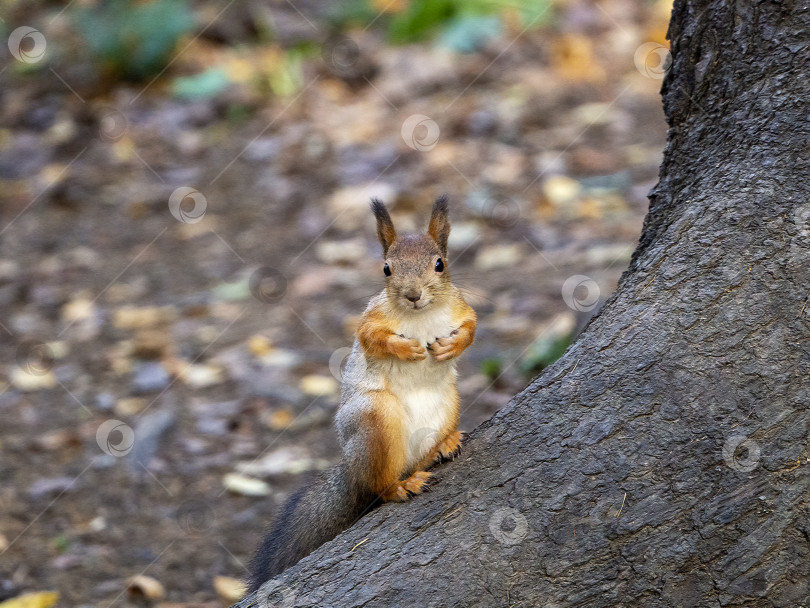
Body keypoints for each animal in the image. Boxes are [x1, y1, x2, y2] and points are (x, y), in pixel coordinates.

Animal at [246, 196, 474, 592]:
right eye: (386, 269)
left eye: (440, 264)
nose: (413, 295)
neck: (421, 318)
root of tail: (352, 470)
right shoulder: (371, 318)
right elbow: (372, 338)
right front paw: (407, 350)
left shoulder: (462, 307)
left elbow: (472, 327)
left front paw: (450, 347)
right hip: (375, 418)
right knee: (379, 486)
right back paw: (401, 486)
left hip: (450, 401)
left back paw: (441, 447)